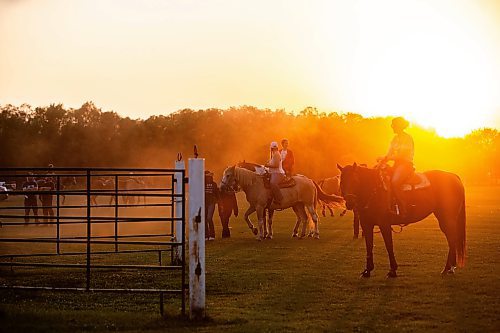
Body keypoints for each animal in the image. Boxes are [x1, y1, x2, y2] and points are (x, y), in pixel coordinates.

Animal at [338, 162, 466, 276]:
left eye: (355, 181)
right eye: (342, 182)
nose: (349, 203)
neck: (374, 190)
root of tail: (453, 176)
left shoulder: (384, 224)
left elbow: (389, 245)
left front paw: (392, 271)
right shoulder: (366, 225)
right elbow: (369, 246)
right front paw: (367, 270)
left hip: (447, 219)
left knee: (452, 239)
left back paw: (447, 268)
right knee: (452, 240)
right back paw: (449, 268)